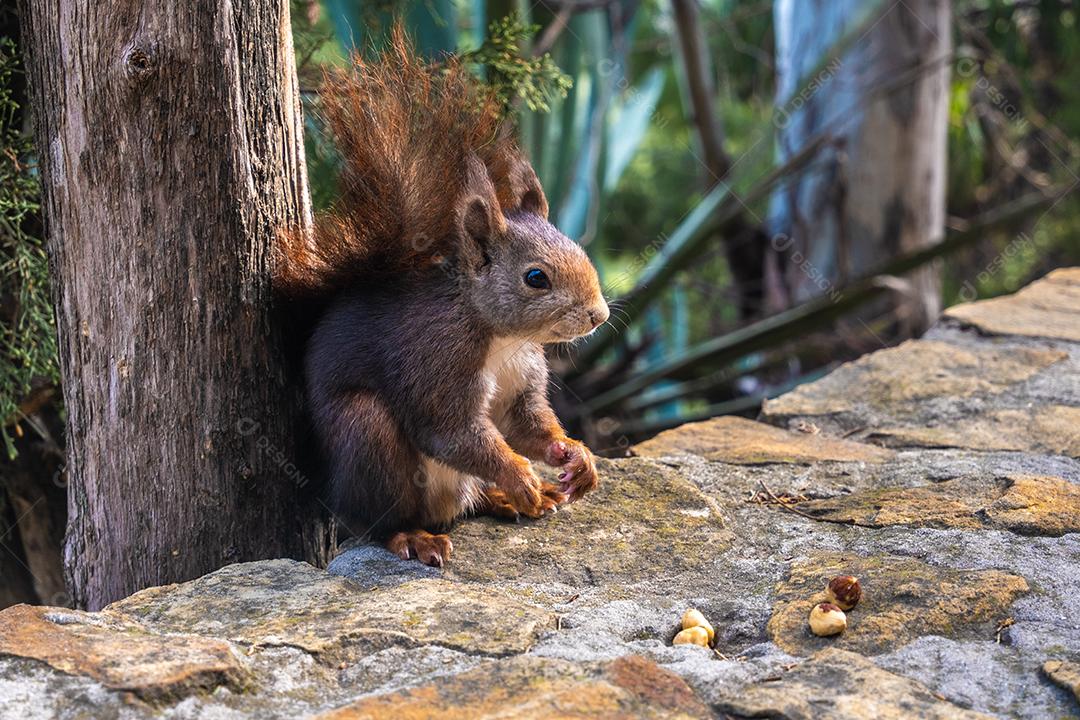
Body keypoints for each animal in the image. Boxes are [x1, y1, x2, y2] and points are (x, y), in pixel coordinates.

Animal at [274, 31, 613, 565]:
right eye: (535, 278)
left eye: (580, 248)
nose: (599, 315)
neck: (500, 337)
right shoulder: (436, 363)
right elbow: (453, 433)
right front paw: (518, 474)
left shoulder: (522, 379)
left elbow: (528, 425)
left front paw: (574, 455)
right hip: (367, 436)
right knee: (380, 520)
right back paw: (415, 535)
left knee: (467, 501)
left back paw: (508, 498)